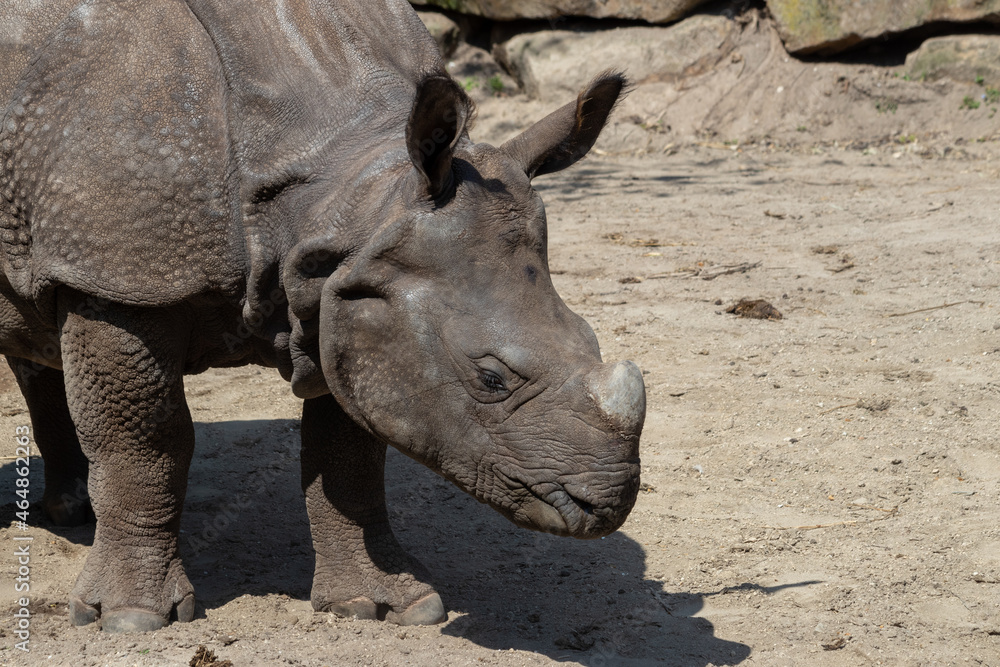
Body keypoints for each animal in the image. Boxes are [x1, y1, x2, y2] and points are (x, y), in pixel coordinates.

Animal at [0, 0, 645, 632]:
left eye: (589, 336)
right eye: (491, 378)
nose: (606, 505)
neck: (349, 189)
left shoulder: (351, 288)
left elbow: (349, 453)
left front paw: (384, 607)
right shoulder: (118, 276)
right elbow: (145, 442)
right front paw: (131, 619)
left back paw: (73, 510)